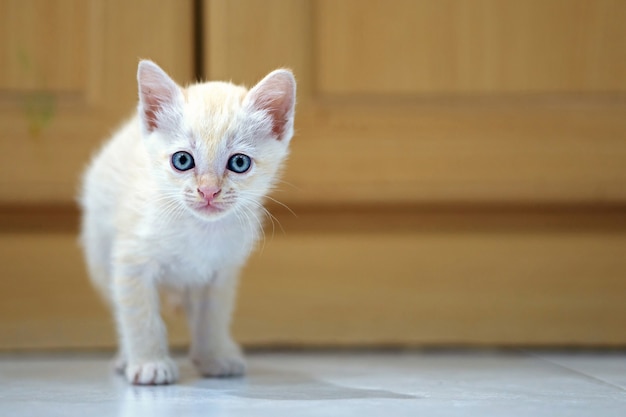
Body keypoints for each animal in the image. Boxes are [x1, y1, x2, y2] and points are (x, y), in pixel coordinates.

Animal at [78, 60, 294, 386]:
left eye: (239, 163)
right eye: (182, 160)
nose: (208, 191)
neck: (199, 229)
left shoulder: (221, 273)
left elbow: (212, 317)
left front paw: (214, 356)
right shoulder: (131, 262)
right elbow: (139, 316)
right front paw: (149, 362)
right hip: (100, 254)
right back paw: (127, 357)